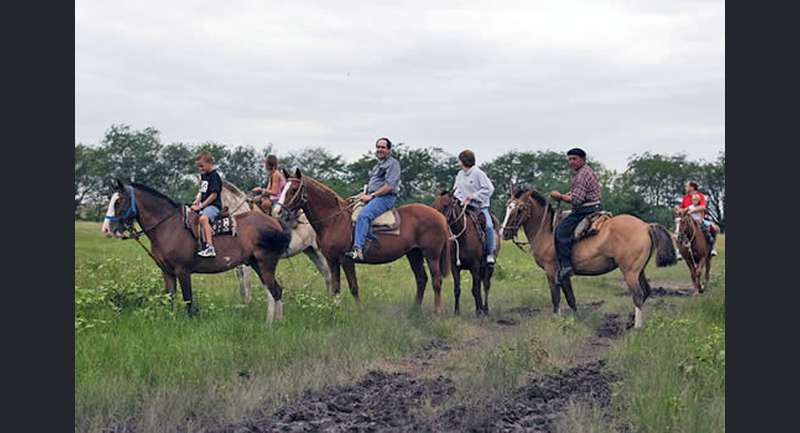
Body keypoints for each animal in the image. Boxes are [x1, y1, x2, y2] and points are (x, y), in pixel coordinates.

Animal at [101, 177, 292, 322]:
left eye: (119, 201)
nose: (106, 229)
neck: (168, 226)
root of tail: (274, 222)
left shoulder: (183, 271)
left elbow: (188, 300)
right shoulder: (167, 272)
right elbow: (170, 298)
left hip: (265, 264)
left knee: (275, 290)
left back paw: (272, 324)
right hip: (256, 264)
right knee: (275, 290)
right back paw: (276, 321)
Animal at [276, 167, 454, 312]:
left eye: (293, 189)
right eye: (282, 188)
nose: (278, 211)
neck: (334, 220)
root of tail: (439, 216)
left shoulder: (346, 259)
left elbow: (353, 286)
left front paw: (360, 311)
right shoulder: (332, 260)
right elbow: (336, 287)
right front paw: (335, 310)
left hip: (431, 255)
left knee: (436, 281)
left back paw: (437, 312)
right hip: (414, 254)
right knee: (421, 279)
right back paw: (414, 311)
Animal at [500, 186, 676, 328]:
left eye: (519, 209)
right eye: (507, 207)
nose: (504, 232)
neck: (546, 230)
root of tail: (646, 226)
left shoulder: (551, 271)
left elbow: (556, 297)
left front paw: (556, 319)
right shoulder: (563, 274)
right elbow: (570, 298)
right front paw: (574, 320)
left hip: (630, 272)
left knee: (638, 295)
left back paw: (637, 328)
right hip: (639, 271)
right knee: (645, 291)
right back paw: (630, 322)